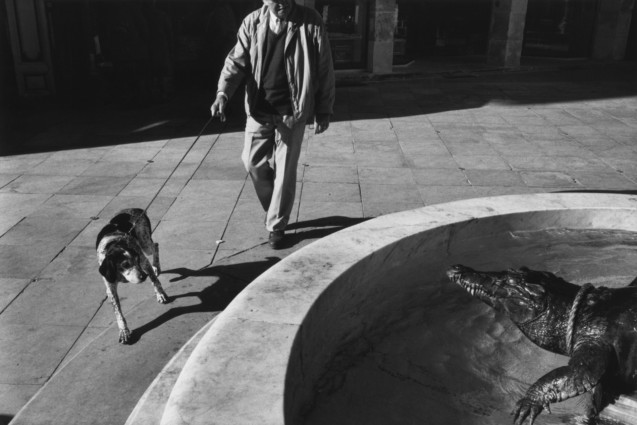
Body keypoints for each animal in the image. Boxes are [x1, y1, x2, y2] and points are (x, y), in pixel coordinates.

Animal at [96, 208, 168, 344]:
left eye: (137, 259)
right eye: (125, 264)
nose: (143, 276)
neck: (114, 245)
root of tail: (137, 209)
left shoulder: (143, 261)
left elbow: (155, 281)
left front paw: (160, 294)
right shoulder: (110, 287)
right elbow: (118, 313)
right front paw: (124, 331)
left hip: (145, 244)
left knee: (155, 246)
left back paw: (156, 266)